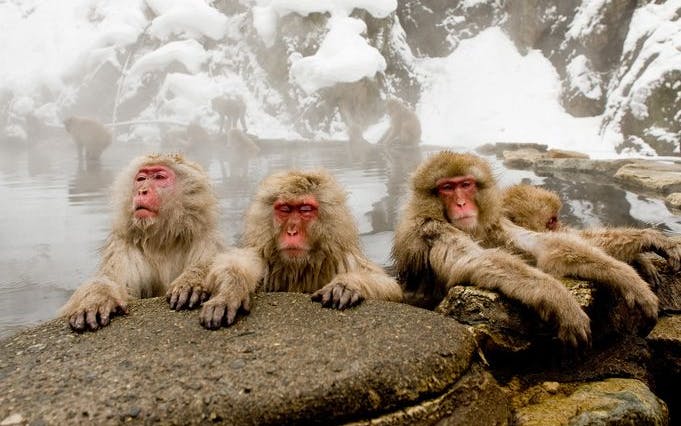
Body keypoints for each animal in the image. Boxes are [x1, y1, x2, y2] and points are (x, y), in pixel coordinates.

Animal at [59, 153, 235, 331]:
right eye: (141, 179)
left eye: (159, 177)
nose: (142, 191)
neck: (162, 238)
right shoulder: (123, 247)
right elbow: (113, 281)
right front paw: (95, 300)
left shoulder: (206, 239)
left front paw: (191, 281)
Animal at [188, 169, 404, 329]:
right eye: (284, 209)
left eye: (304, 209)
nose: (292, 231)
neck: (299, 266)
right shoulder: (264, 253)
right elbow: (236, 263)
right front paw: (230, 291)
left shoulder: (342, 257)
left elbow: (390, 287)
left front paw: (346, 285)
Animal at [392, 151, 659, 348]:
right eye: (446, 187)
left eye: (465, 185)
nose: (460, 203)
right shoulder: (432, 230)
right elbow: (475, 260)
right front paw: (558, 297)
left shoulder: (495, 224)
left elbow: (542, 245)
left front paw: (627, 272)